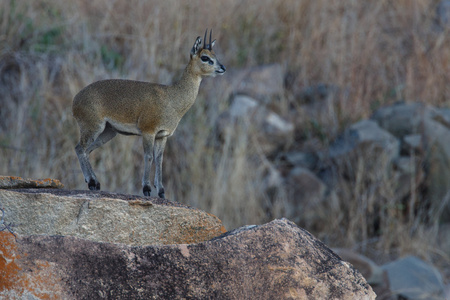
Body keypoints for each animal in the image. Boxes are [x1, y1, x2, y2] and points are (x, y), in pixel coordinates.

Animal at [74, 29, 229, 198]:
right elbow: (148, 157)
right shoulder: (148, 131)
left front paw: (161, 191)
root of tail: (76, 99)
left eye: (215, 54)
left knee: (87, 150)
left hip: (108, 132)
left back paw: (94, 183)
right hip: (93, 127)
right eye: (205, 57)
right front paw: (147, 188)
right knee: (80, 148)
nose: (222, 68)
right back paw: (92, 182)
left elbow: (159, 159)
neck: (172, 98)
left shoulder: (163, 135)